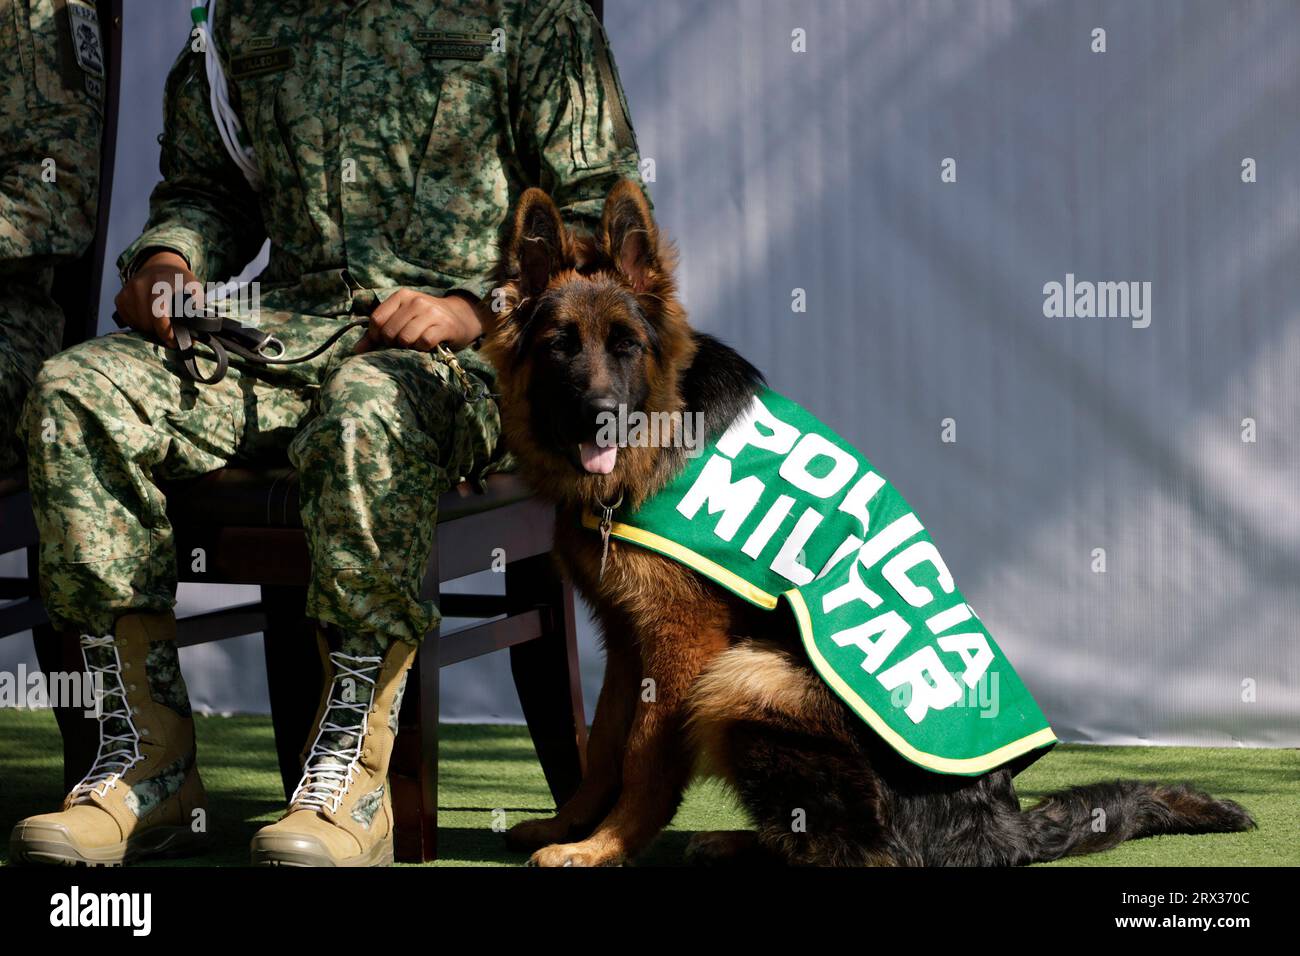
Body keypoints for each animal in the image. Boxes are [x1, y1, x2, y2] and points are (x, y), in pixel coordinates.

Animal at [480, 179, 1258, 868]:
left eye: (625, 346)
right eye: (560, 345)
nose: (601, 418)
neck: (662, 431)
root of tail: (1000, 829)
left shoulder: (680, 646)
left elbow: (642, 760)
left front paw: (604, 846)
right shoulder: (625, 636)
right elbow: (602, 746)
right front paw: (571, 824)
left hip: (748, 677)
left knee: (874, 854)